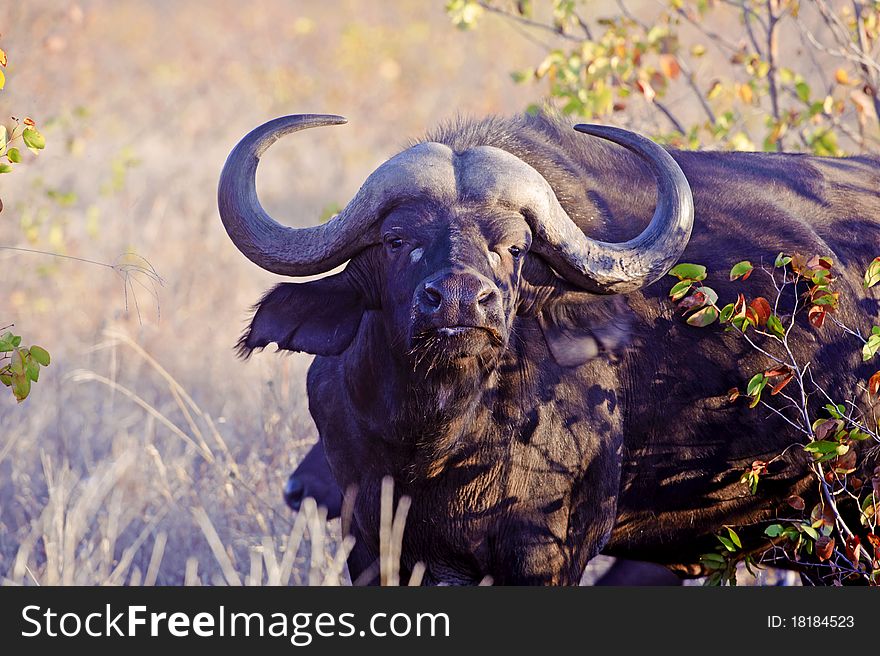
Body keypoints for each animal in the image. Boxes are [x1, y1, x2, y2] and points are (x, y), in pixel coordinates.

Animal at [218, 111, 880, 584]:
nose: (460, 301)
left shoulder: (545, 553)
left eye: (514, 247)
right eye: (396, 239)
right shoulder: (374, 544)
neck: (436, 443)